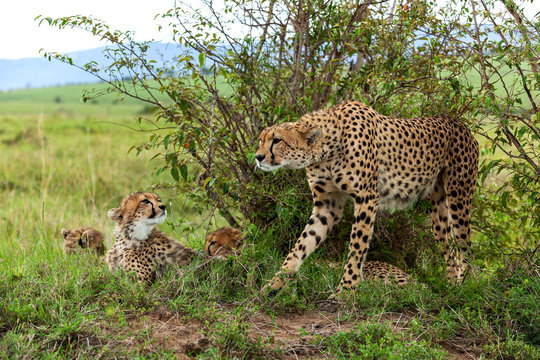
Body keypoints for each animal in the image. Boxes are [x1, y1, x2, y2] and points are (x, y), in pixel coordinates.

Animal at [255, 100, 478, 292]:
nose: (258, 157)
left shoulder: (367, 197)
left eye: (277, 140)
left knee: (466, 246)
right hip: (438, 209)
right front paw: (274, 284)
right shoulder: (327, 205)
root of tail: (458, 122)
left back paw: (465, 287)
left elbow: (357, 245)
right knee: (450, 249)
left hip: (459, 196)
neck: (328, 149)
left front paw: (347, 289)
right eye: (261, 140)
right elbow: (302, 244)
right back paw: (450, 287)